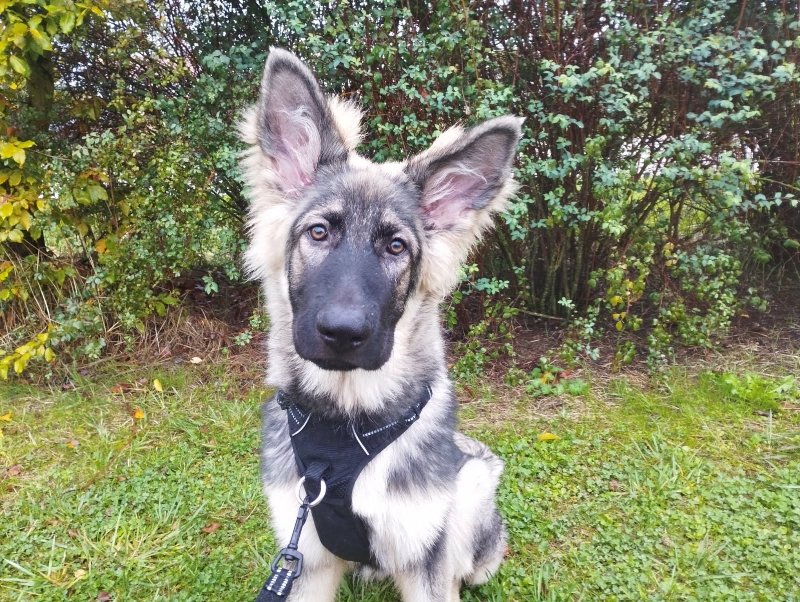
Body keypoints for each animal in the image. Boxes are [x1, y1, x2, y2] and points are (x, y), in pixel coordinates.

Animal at [240, 48, 522, 602]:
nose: (343, 333)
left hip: (470, 491)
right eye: (319, 232)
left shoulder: (422, 558)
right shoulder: (304, 560)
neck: (346, 423)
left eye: (396, 247)